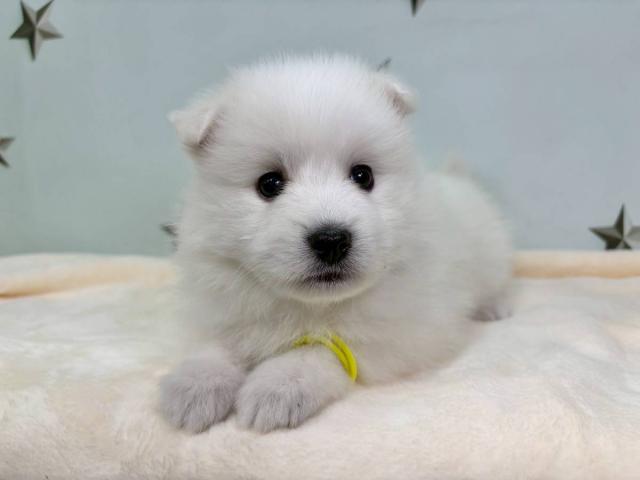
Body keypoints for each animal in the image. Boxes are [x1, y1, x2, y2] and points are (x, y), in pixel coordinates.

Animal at [159, 54, 512, 433]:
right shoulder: (223, 307)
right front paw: (195, 385)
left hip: (492, 257)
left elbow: (321, 350)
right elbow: (216, 344)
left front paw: (277, 386)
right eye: (269, 184)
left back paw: (494, 308)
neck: (310, 306)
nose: (331, 240)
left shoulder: (403, 332)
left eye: (363, 175)